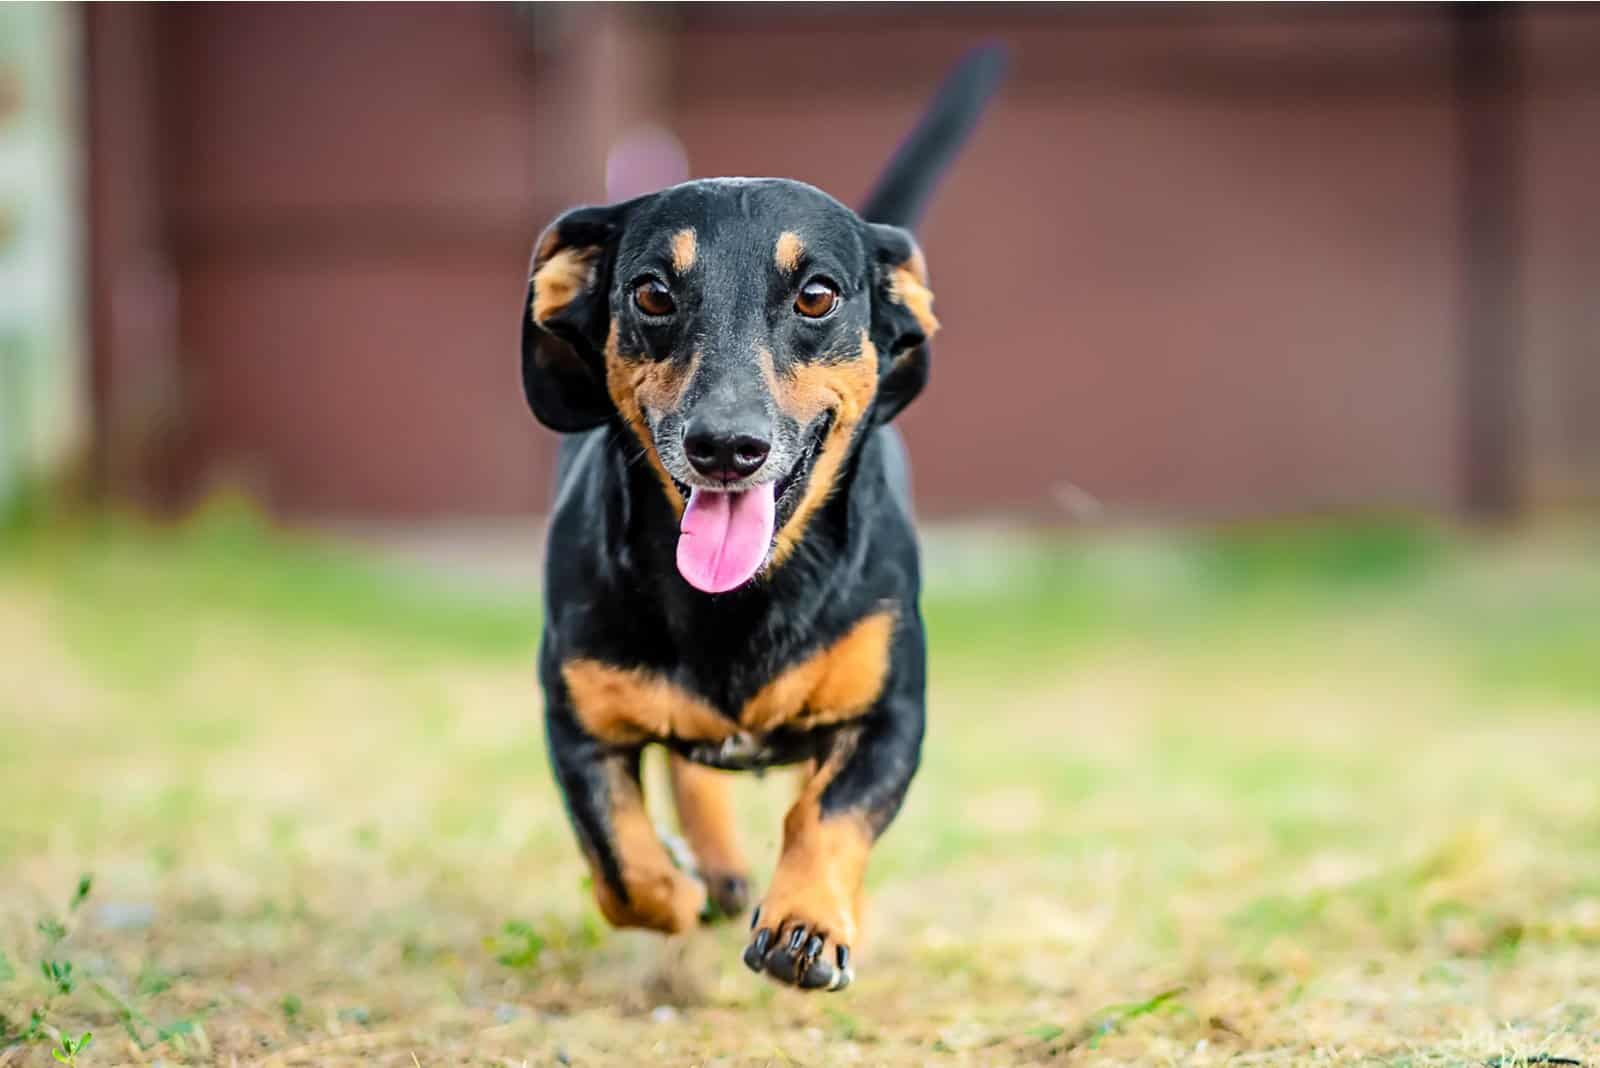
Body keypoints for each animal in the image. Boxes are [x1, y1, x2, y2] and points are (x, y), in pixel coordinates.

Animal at [521, 45, 998, 991]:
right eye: (652, 293)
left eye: (816, 296)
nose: (725, 446)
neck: (740, 602)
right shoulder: (575, 721)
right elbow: (620, 865)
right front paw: (675, 888)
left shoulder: (893, 717)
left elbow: (828, 814)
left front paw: (808, 922)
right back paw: (710, 869)